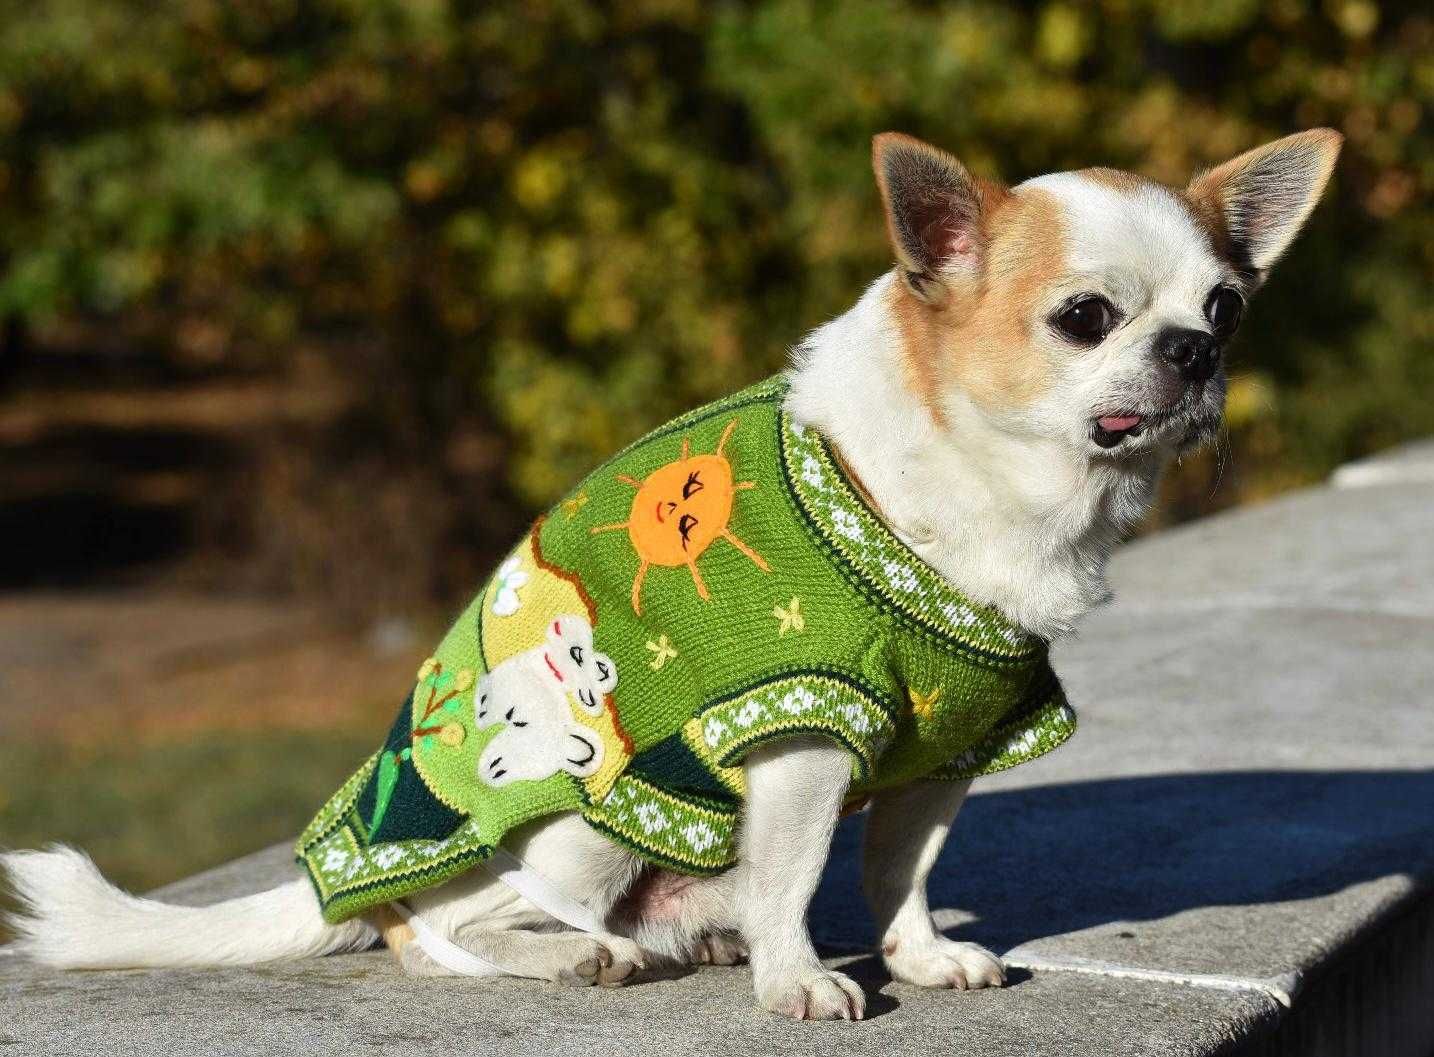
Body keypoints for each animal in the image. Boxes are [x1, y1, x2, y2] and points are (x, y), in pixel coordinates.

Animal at [5, 127, 1336, 1021]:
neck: (994, 499)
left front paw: (918, 957)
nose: (1195, 350)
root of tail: (334, 866)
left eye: (1226, 305)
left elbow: (899, 867)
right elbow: (795, 872)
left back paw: (692, 940)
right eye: (1085, 317)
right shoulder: (798, 735)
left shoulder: (950, 745)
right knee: (433, 929)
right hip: (576, 825)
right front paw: (803, 980)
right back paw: (581, 953)